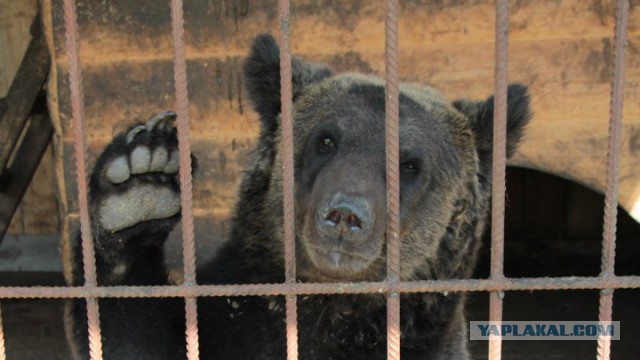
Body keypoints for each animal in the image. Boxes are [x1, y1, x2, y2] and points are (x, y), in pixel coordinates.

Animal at [69, 33, 528, 360]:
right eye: (325, 140)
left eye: (410, 164)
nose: (345, 214)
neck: (333, 313)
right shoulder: (234, 316)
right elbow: (133, 334)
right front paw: (139, 185)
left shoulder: (425, 342)